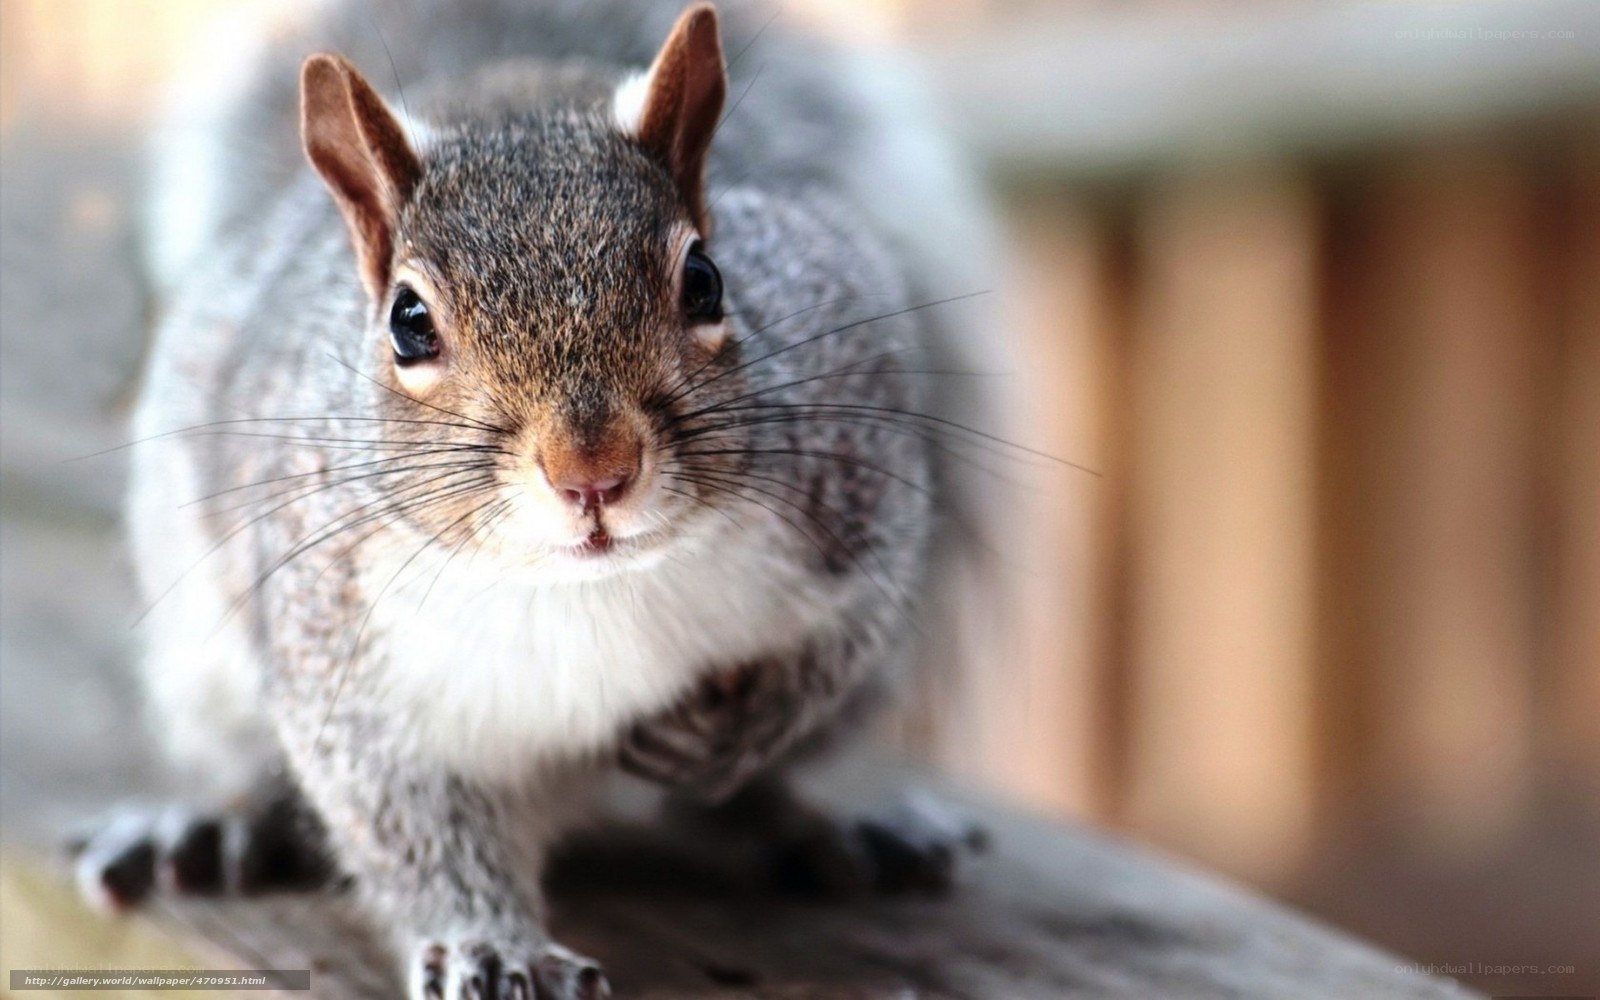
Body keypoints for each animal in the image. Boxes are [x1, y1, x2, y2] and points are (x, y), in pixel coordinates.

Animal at [74, 1, 1002, 996]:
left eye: (706, 279)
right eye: (408, 322)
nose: (592, 471)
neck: (589, 586)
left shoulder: (858, 491)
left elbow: (842, 644)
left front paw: (730, 727)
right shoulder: (346, 656)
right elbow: (407, 824)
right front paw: (491, 946)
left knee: (751, 798)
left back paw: (835, 829)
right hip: (200, 658)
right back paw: (216, 823)